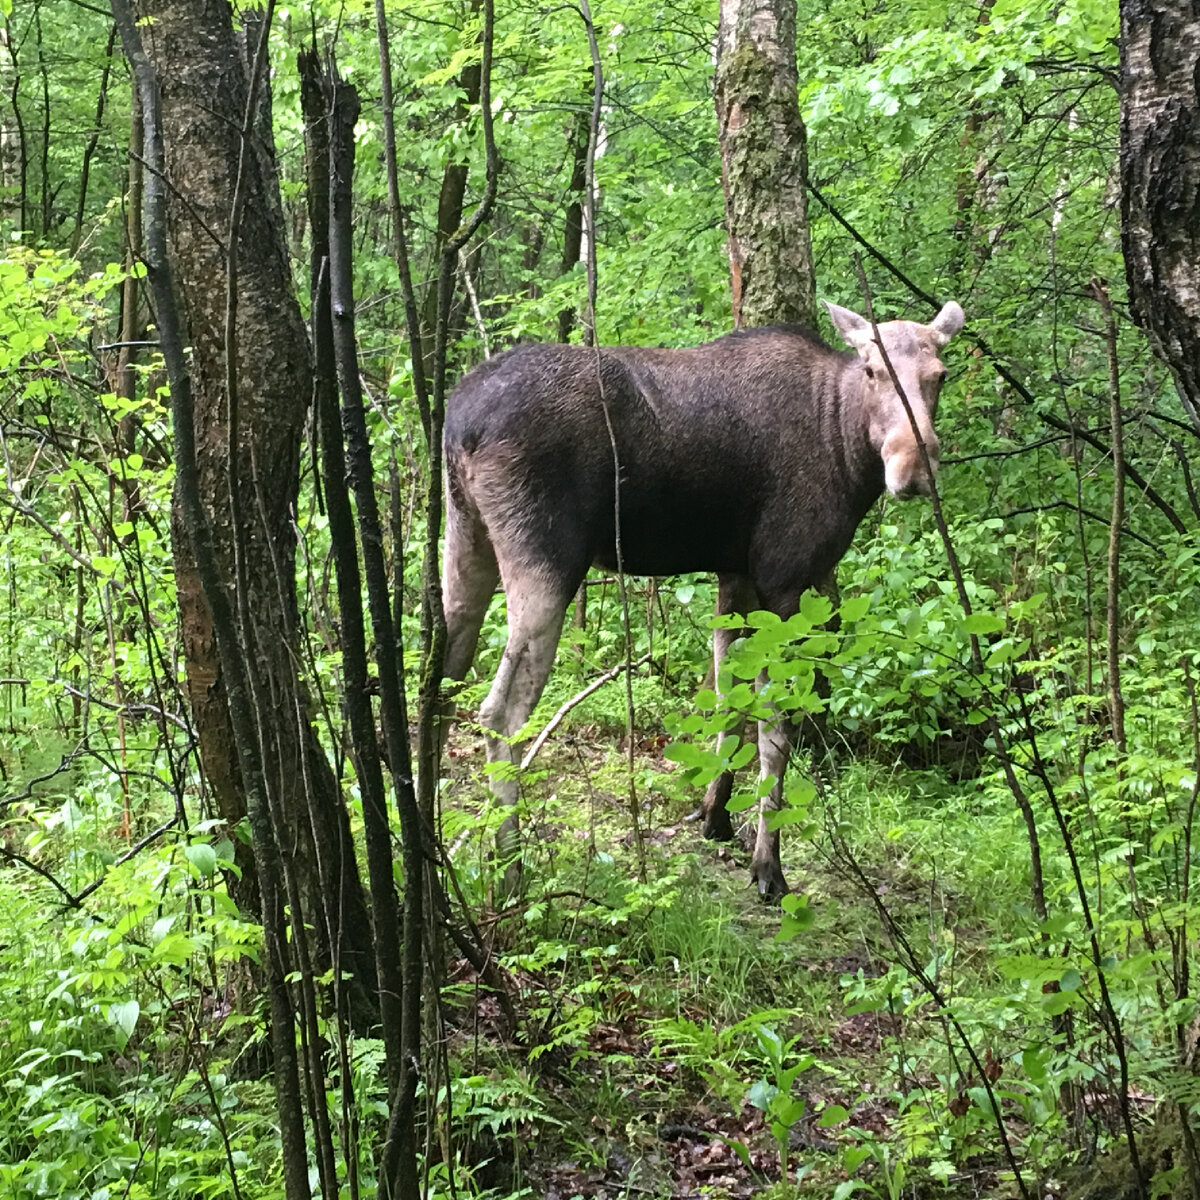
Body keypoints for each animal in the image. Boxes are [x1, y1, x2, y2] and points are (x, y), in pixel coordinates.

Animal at [441, 300, 964, 902]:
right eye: (874, 370)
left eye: (939, 376)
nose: (913, 469)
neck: (846, 446)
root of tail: (461, 423)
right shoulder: (786, 575)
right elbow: (773, 728)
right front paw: (768, 866)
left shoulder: (734, 573)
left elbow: (726, 697)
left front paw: (715, 815)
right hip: (545, 559)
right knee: (497, 710)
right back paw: (510, 869)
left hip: (465, 539)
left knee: (438, 683)